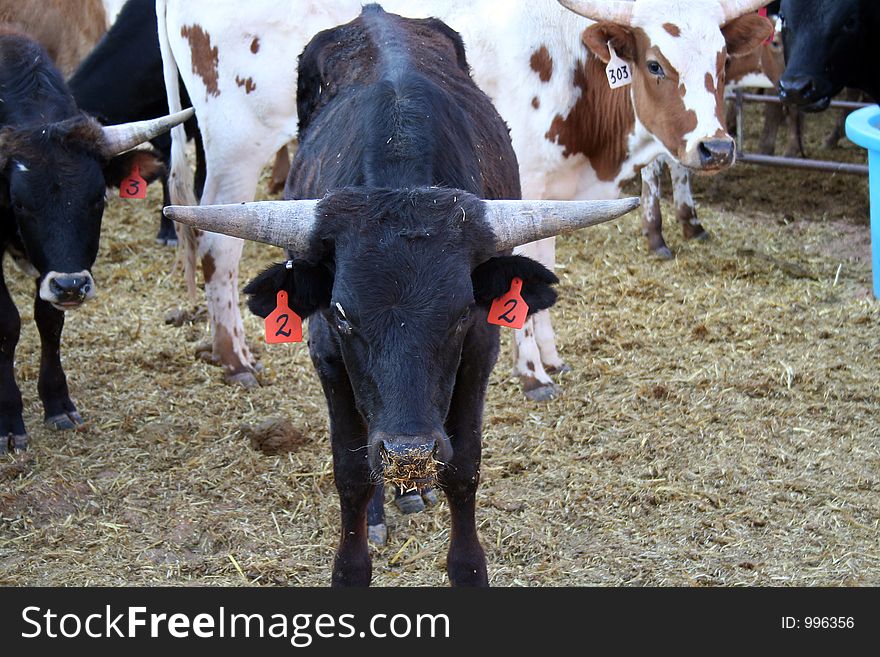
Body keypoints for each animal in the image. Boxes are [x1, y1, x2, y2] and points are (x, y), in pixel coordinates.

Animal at [0, 28, 192, 454]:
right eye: (19, 203)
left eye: (97, 199)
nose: (71, 286)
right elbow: (6, 323)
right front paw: (8, 420)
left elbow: (48, 319)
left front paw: (57, 403)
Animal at [158, 0, 768, 394]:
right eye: (656, 64)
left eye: (722, 63)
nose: (716, 146)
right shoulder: (524, 188)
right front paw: (532, 372)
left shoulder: (550, 196)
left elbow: (543, 267)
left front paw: (550, 357)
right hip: (236, 148)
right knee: (216, 246)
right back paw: (236, 358)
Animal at [162, 5, 636, 588]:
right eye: (343, 315)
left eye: (459, 314)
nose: (410, 450)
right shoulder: (328, 355)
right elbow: (352, 469)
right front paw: (354, 561)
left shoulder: (480, 351)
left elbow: (463, 466)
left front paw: (466, 564)